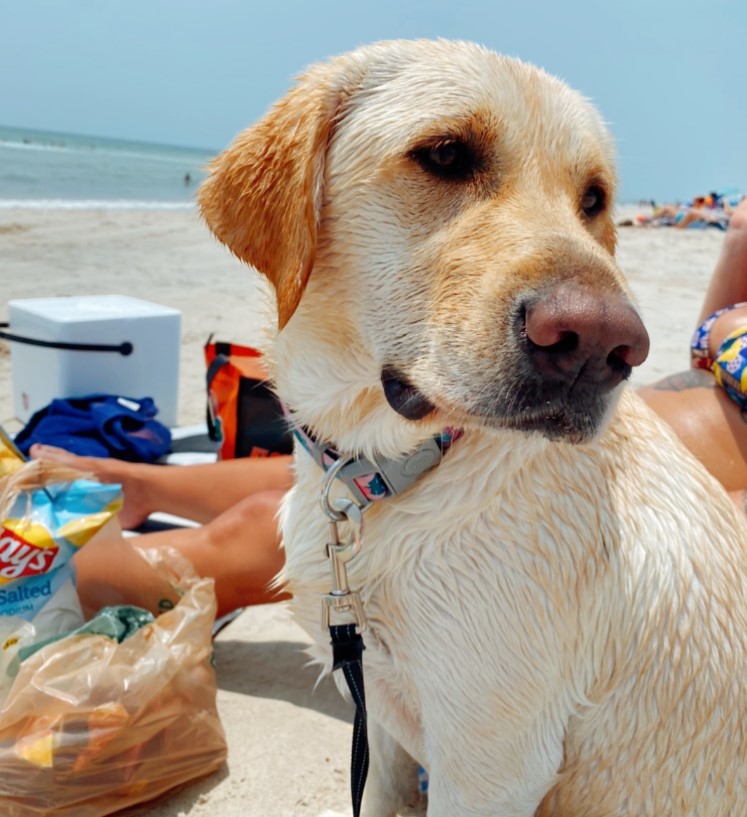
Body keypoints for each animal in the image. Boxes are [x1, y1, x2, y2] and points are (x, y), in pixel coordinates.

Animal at [199, 38, 747, 816]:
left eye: (592, 198)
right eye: (447, 154)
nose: (603, 345)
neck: (397, 470)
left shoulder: (488, 767)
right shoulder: (381, 724)